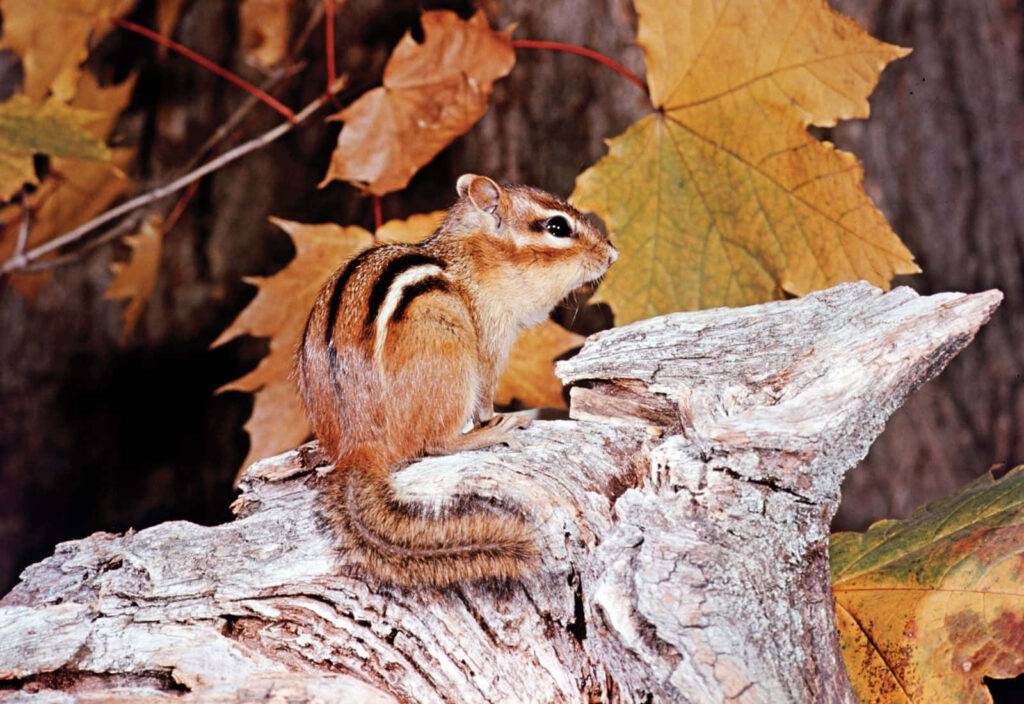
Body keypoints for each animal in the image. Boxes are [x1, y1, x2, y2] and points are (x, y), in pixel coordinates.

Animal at [296, 174, 617, 587]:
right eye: (557, 227)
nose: (612, 254)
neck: (477, 259)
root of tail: (359, 444)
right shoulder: (491, 341)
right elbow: (485, 398)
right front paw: (492, 420)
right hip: (449, 358)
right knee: (436, 442)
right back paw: (490, 433)